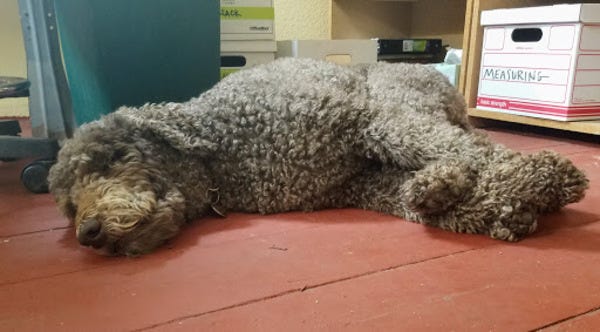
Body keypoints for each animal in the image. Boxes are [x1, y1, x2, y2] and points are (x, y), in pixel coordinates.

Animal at [48, 57, 592, 255]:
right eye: (70, 206)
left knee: (466, 141)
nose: (88, 233)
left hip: (393, 101)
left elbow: (466, 150)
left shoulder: (359, 119)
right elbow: (412, 197)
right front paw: (501, 207)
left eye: (110, 159)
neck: (224, 152)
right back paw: (440, 186)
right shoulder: (356, 183)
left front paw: (536, 183)